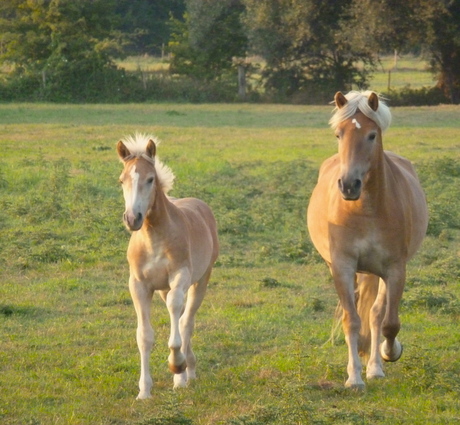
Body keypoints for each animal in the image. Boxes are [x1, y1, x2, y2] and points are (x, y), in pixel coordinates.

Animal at [117, 134, 220, 400]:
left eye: (150, 179)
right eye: (122, 180)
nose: (132, 218)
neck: (153, 237)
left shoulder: (179, 277)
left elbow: (177, 320)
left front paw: (177, 365)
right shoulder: (139, 285)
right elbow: (144, 336)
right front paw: (144, 391)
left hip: (201, 280)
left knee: (186, 321)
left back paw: (186, 372)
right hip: (162, 288)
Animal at [308, 92, 430, 388]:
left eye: (372, 135)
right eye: (339, 134)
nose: (348, 185)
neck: (366, 209)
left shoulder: (395, 270)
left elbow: (388, 322)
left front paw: (389, 353)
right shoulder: (342, 267)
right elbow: (351, 320)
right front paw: (354, 378)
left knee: (376, 315)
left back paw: (375, 366)